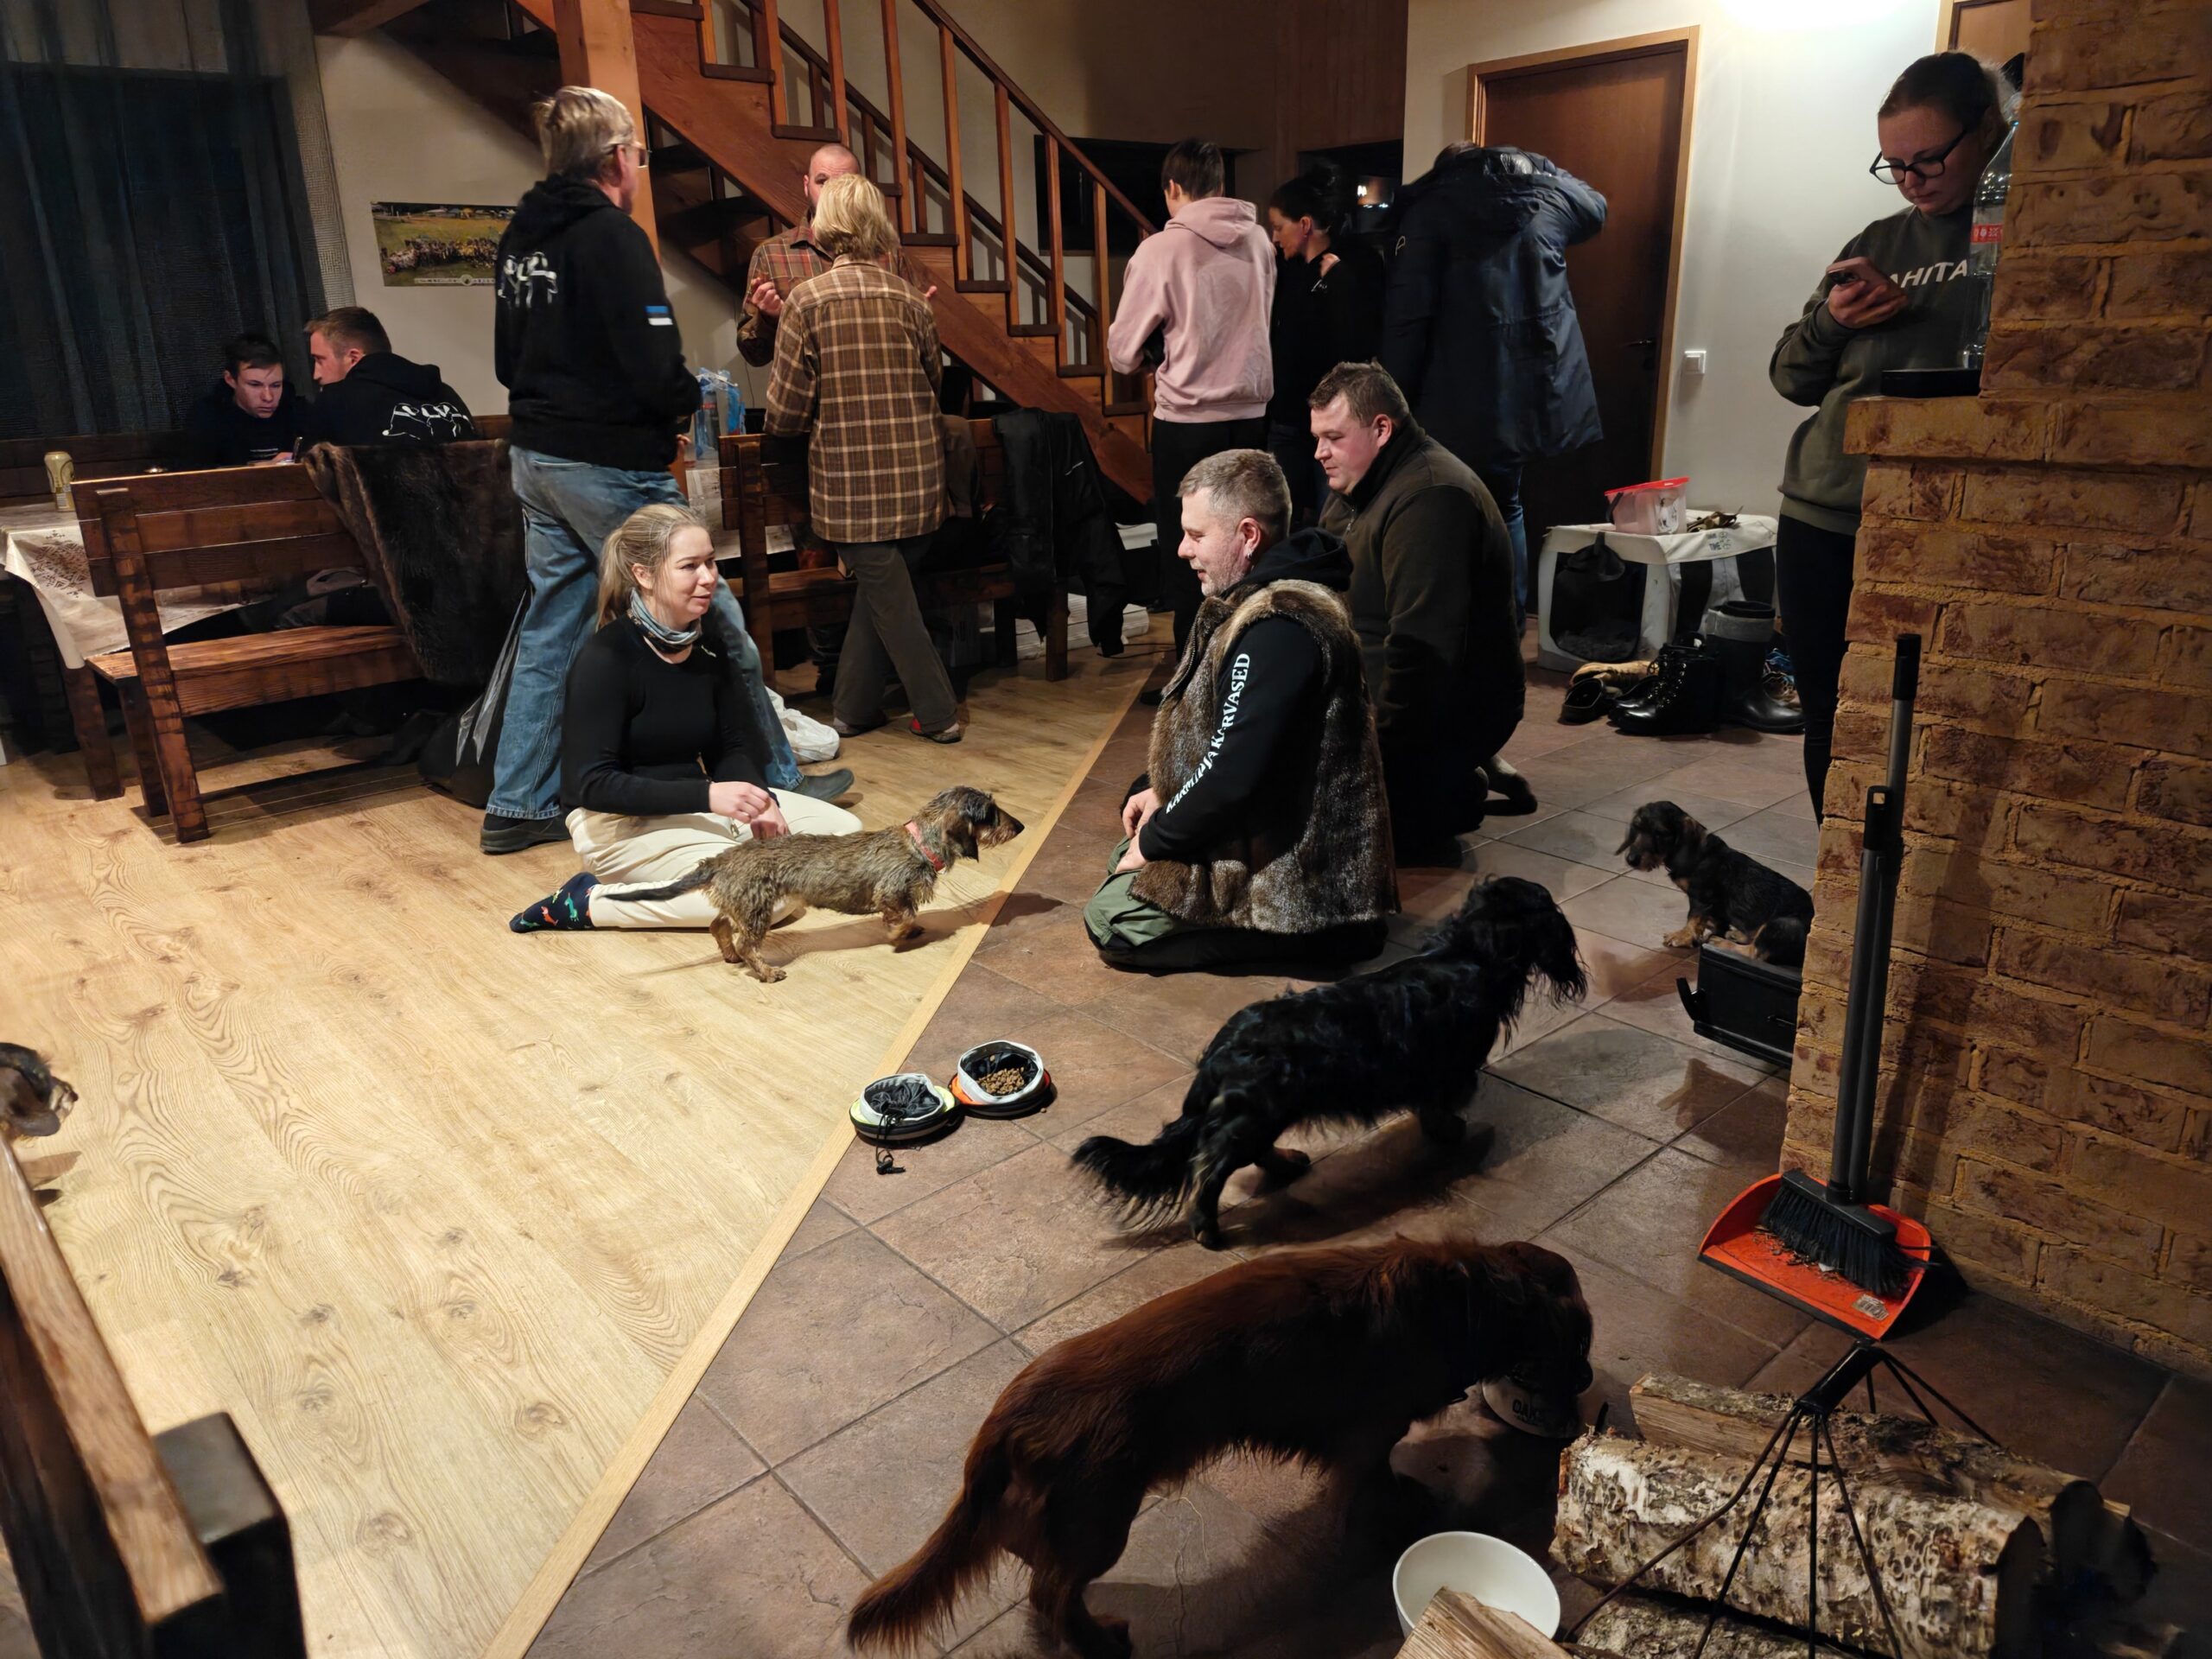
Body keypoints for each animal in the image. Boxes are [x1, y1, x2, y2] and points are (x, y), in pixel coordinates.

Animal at [607, 786, 1023, 981]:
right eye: (990, 813)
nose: (1019, 826)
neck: (919, 842)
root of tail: (721, 859)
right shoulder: (890, 892)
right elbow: (901, 914)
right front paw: (896, 934)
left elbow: (909, 914)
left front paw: (911, 929)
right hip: (758, 909)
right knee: (746, 942)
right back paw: (764, 971)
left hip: (743, 903)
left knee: (719, 925)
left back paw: (729, 954)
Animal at [846, 1235, 1593, 1659]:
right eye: (1579, 1342)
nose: (1588, 1383)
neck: (1463, 1295)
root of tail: (1006, 1415)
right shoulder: (1366, 1437)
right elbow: (1373, 1483)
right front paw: (1398, 1512)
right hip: (1102, 1521)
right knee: (1052, 1592)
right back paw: (1099, 1640)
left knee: (1031, 1562)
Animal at [1073, 877, 1585, 1249]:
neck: (1466, 954)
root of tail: (1222, 1049)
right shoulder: (1444, 1070)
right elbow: (1438, 1108)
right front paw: (1449, 1132)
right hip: (1255, 1116)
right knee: (1210, 1166)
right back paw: (1208, 1228)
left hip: (1265, 1113)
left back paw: (1286, 1164)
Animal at [1617, 800, 1812, 967]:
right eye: (1636, 827)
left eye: (1660, 833)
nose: (1631, 860)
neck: (1697, 854)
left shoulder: (1700, 896)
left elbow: (1693, 918)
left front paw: (1682, 936)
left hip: (1783, 924)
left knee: (1753, 953)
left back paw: (1721, 943)